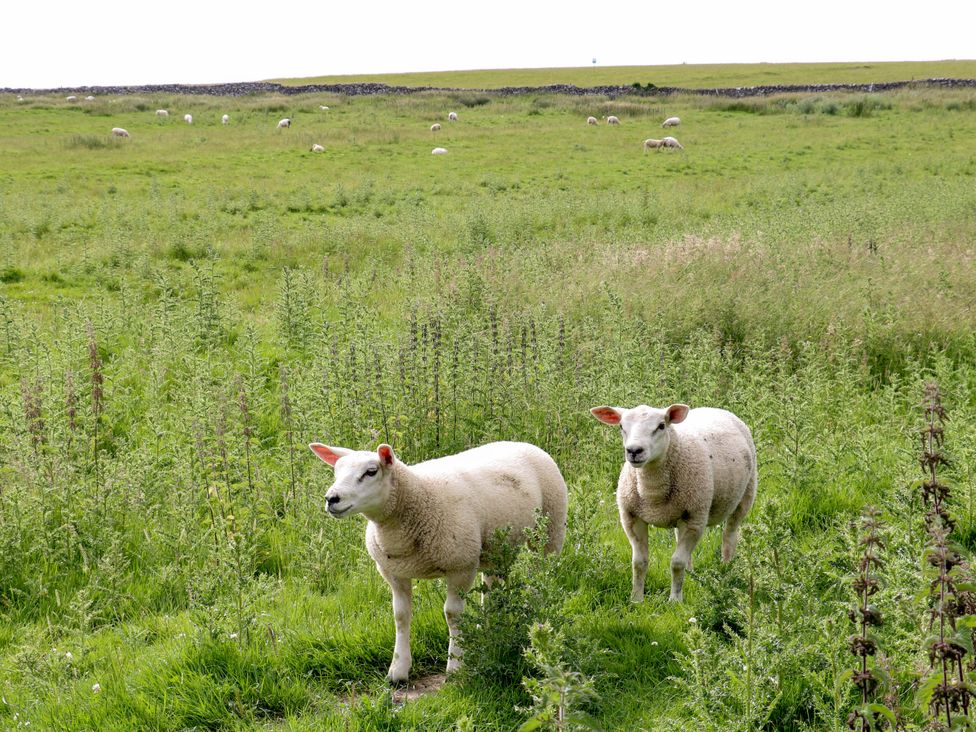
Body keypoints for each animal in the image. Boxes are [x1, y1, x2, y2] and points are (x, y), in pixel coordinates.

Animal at [309, 441, 568, 682]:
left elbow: (452, 614)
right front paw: (398, 669)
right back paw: (487, 628)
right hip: (496, 547)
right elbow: (400, 616)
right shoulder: (394, 572)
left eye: (371, 471)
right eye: (336, 471)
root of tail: (520, 443)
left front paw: (456, 666)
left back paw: (536, 619)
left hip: (550, 531)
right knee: (492, 588)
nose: (332, 498)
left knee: (540, 578)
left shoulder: (461, 566)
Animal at [590, 404, 757, 603]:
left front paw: (675, 601)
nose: (634, 451)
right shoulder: (632, 518)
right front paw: (636, 600)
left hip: (745, 495)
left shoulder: (695, 519)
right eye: (621, 426)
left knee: (729, 536)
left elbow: (676, 563)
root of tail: (715, 408)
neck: (653, 493)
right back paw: (691, 575)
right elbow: (639, 563)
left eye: (661, 426)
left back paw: (727, 568)